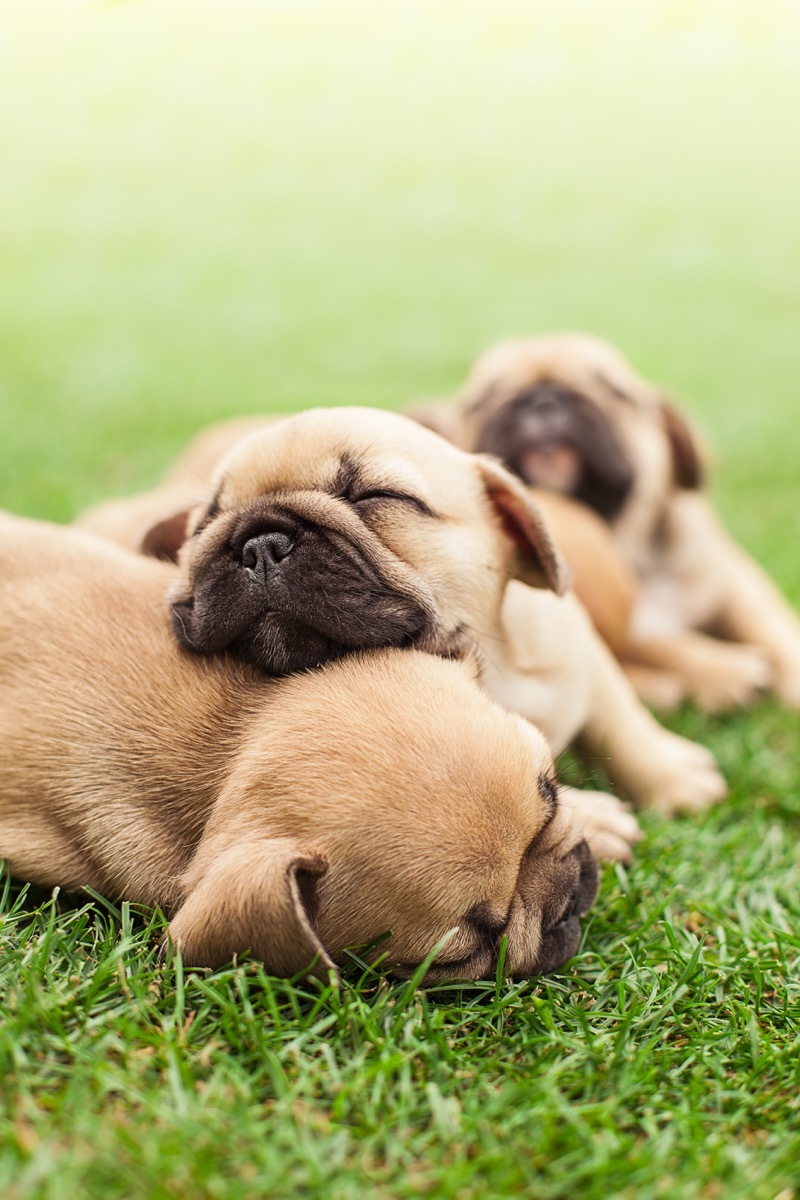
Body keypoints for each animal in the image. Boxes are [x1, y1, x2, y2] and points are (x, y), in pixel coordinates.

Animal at [79, 403, 724, 816]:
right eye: (204, 525)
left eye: (377, 496)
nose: (258, 544)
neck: (484, 665)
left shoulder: (579, 649)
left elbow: (620, 720)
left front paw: (670, 777)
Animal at [417, 331, 800, 710]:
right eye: (482, 401)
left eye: (614, 391)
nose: (543, 398)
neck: (628, 550)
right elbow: (657, 643)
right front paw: (721, 669)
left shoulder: (736, 582)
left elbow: (775, 628)